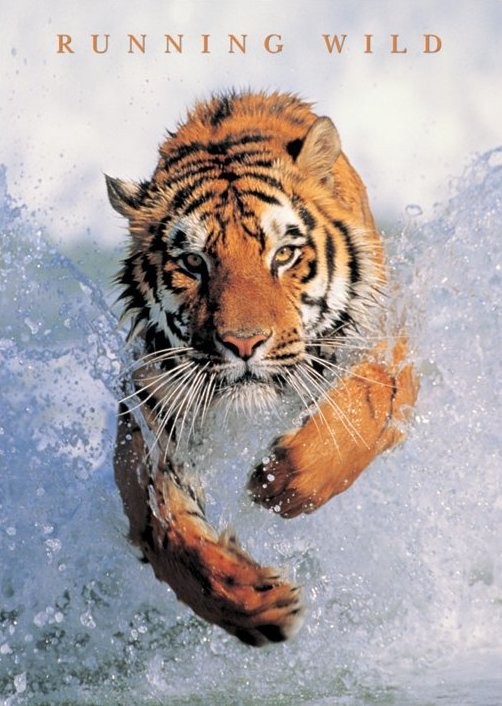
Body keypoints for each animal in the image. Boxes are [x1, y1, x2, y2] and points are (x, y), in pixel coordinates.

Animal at [107, 90, 418, 647]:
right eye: (193, 263)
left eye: (285, 254)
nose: (243, 343)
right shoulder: (152, 410)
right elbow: (168, 527)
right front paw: (253, 603)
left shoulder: (388, 347)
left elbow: (360, 409)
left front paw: (279, 482)